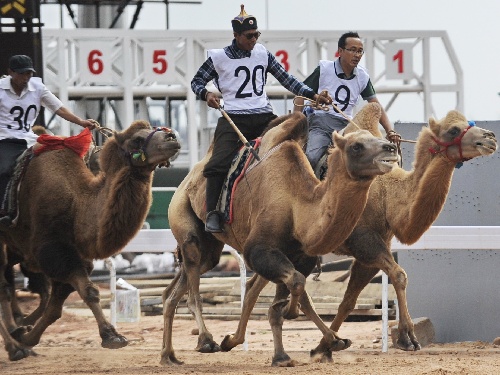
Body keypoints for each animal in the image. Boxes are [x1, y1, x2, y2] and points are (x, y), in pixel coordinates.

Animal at [0, 121, 180, 362]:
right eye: (137, 140)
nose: (172, 138)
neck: (77, 204)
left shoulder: (73, 254)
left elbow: (56, 304)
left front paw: (27, 337)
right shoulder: (51, 249)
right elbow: (89, 291)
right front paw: (112, 336)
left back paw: (17, 336)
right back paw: (14, 347)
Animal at [161, 108, 398, 368]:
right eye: (356, 146)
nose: (390, 148)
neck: (296, 203)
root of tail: (188, 177)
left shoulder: (301, 256)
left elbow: (294, 287)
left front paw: (286, 354)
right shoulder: (258, 250)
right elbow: (294, 284)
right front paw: (292, 321)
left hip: (211, 250)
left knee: (177, 289)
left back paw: (169, 355)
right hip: (186, 223)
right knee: (193, 285)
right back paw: (206, 341)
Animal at [217, 107, 498, 362]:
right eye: (453, 130)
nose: (491, 137)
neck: (387, 196)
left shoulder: (372, 252)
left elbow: (349, 301)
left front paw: (323, 347)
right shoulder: (364, 241)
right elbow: (398, 275)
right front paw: (408, 338)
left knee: (257, 284)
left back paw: (236, 340)